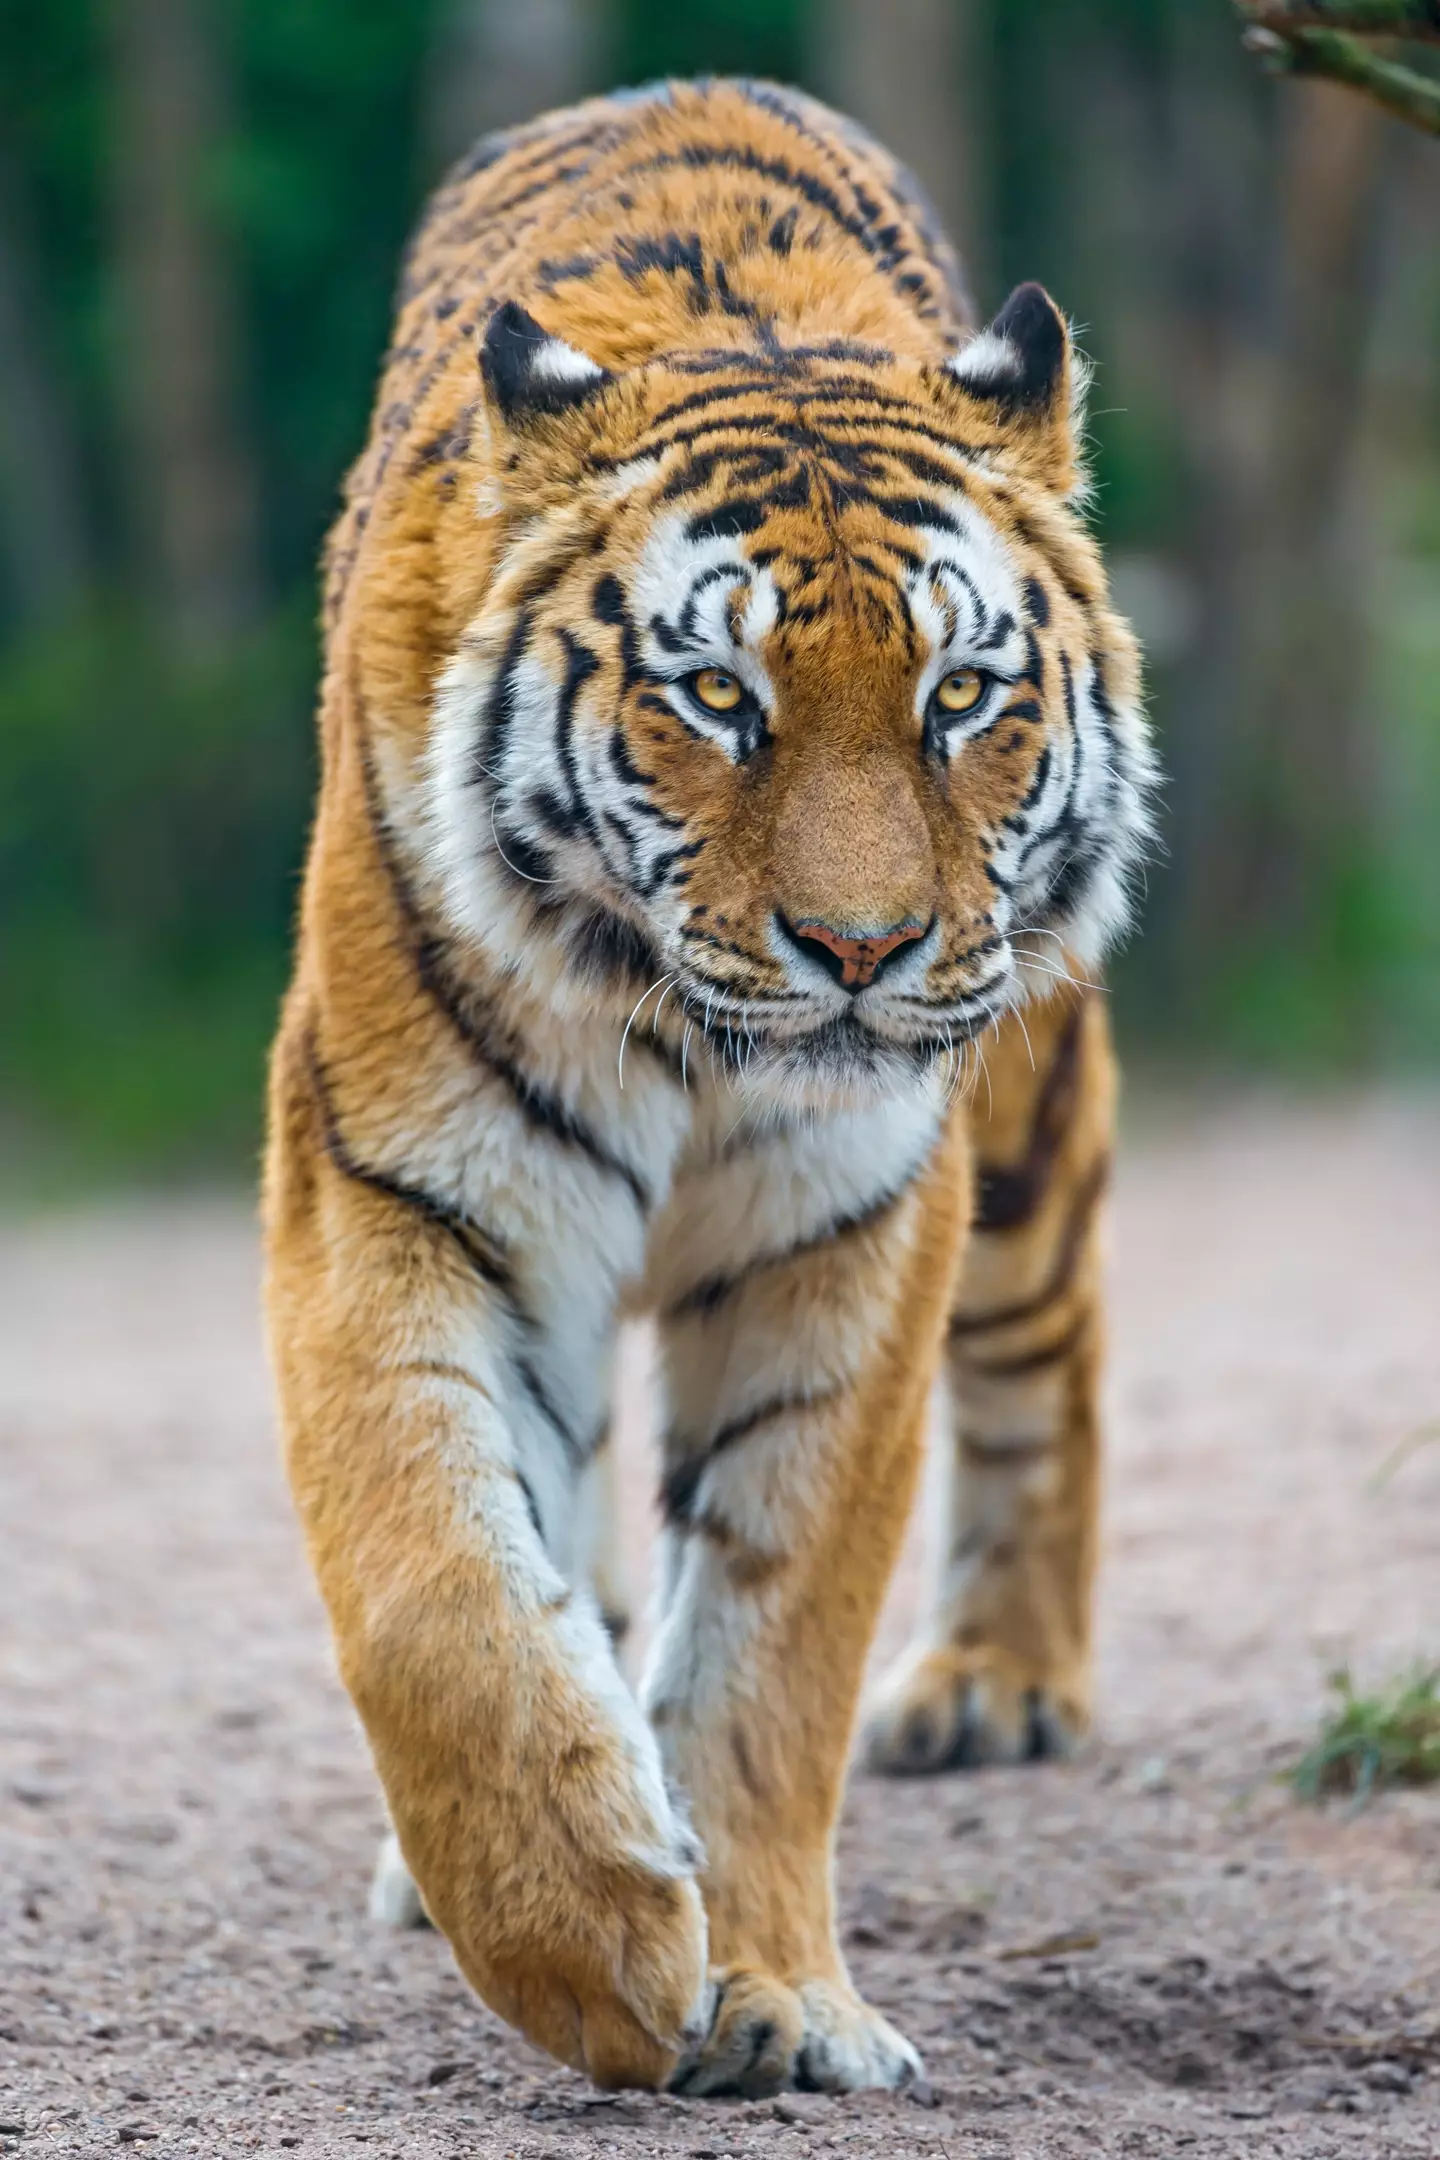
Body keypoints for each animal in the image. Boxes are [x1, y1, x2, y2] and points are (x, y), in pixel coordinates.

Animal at [262, 76, 1157, 2099]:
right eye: (720, 699)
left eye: (962, 695)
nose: (862, 947)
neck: (685, 1040)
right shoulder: (392, 1190)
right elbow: (436, 1584)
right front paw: (592, 1941)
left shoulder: (853, 1234)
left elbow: (775, 1640)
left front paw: (764, 1992)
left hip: (1025, 1118)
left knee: (1052, 1343)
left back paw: (1001, 1682)